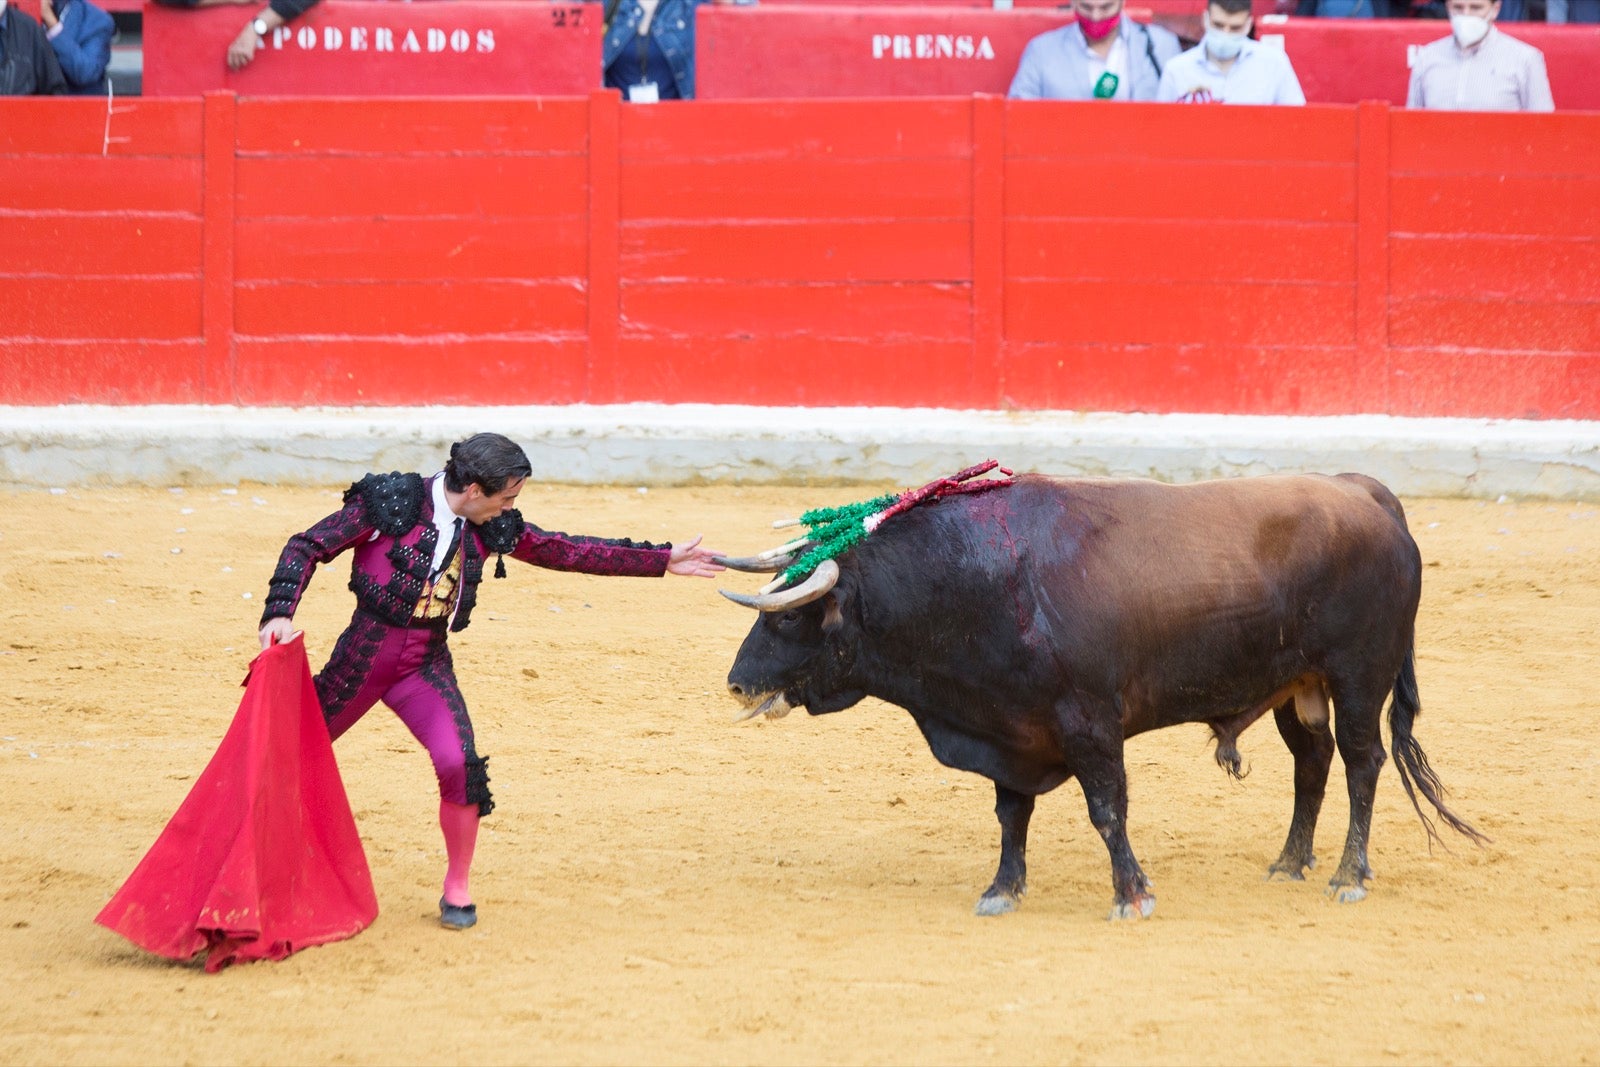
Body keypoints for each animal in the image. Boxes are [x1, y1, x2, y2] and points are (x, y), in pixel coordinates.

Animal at [720, 473, 1478, 921]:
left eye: (786, 618)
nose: (735, 680)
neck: (975, 585)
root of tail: (1368, 494)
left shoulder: (1088, 725)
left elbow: (1107, 810)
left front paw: (1132, 893)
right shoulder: (1011, 728)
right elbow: (1011, 815)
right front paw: (1002, 889)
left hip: (1357, 678)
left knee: (1362, 764)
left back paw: (1349, 874)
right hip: (1298, 689)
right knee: (1312, 764)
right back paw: (1289, 862)